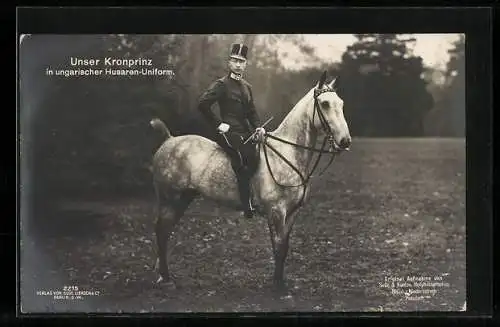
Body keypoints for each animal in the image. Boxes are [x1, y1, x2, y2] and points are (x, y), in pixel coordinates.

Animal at [150, 71, 350, 292]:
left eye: (341, 103)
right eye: (324, 103)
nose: (345, 141)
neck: (287, 153)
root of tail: (169, 139)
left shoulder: (291, 213)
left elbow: (283, 247)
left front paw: (280, 282)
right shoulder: (276, 211)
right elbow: (279, 247)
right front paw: (278, 287)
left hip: (183, 198)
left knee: (165, 231)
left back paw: (163, 275)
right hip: (170, 199)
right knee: (161, 231)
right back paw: (166, 278)